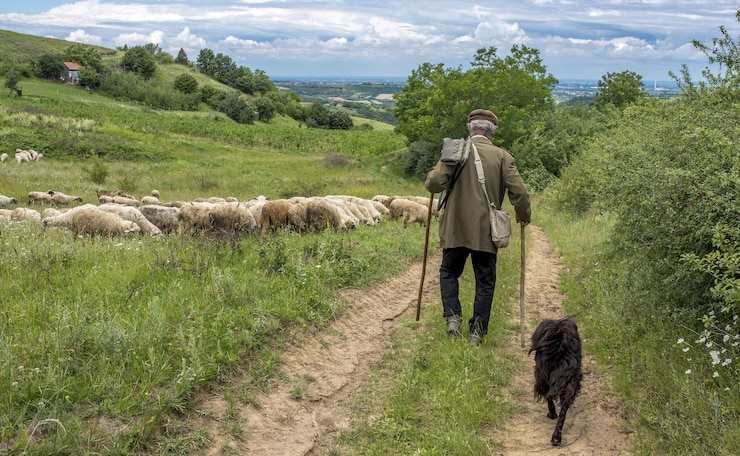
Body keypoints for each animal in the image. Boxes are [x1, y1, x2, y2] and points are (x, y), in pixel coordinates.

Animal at [528, 318, 580, 446]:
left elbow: (548, 397)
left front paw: (551, 413)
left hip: (542, 376)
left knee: (549, 395)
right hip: (571, 381)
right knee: (563, 410)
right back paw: (556, 437)